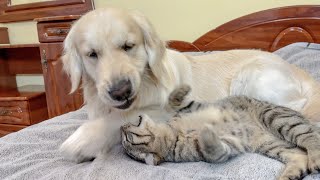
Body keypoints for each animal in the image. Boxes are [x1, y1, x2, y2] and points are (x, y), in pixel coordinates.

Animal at [121, 85, 320, 180]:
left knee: (310, 137)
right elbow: (214, 148)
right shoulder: (224, 148)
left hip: (276, 118)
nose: (122, 126)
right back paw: (291, 175)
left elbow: (175, 100)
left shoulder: (194, 107)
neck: (175, 130)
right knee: (301, 154)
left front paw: (181, 89)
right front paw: (206, 134)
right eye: (127, 138)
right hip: (273, 142)